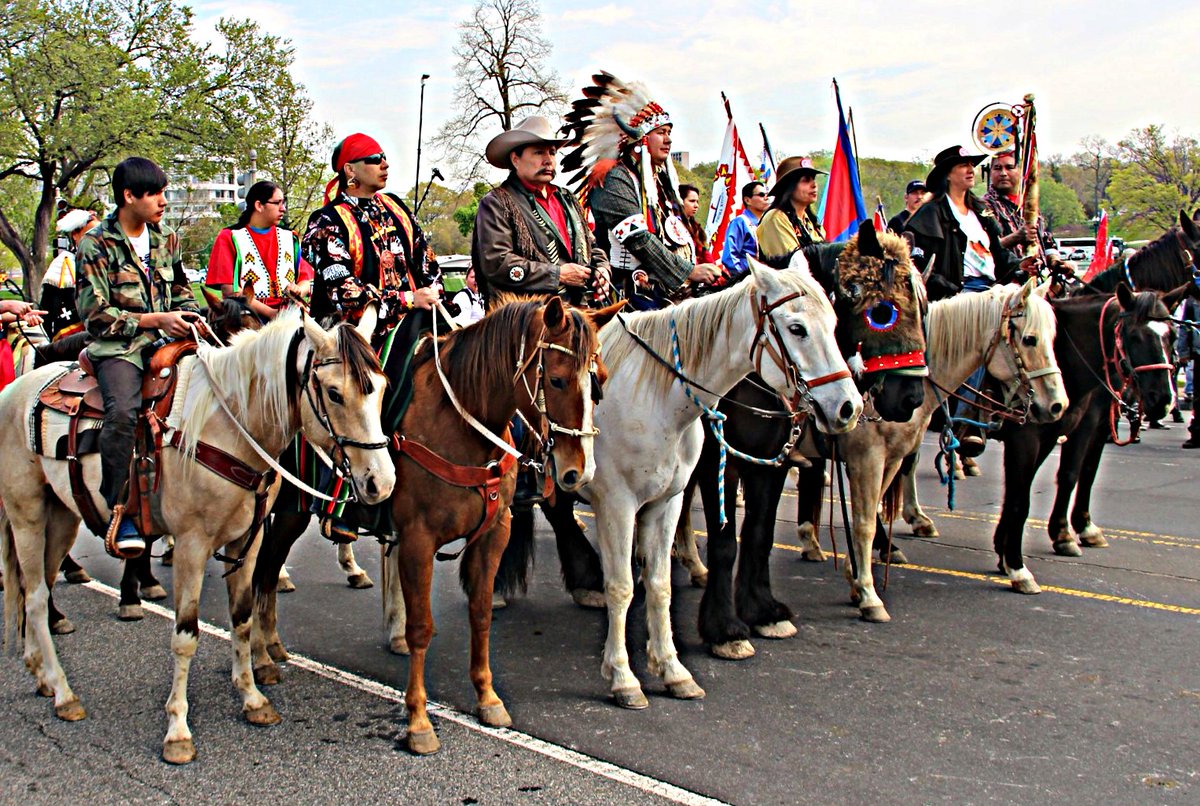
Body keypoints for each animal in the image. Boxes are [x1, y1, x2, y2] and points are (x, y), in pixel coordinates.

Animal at [0, 307, 393, 762]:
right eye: (333, 393)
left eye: (382, 388)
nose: (381, 482)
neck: (230, 426)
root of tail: (14, 390)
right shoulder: (192, 544)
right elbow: (185, 636)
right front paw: (177, 730)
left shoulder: (247, 542)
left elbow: (242, 619)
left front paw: (252, 699)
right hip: (27, 515)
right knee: (35, 597)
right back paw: (64, 693)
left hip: (63, 515)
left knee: (37, 589)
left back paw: (42, 675)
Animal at [590, 261, 864, 710]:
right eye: (797, 328)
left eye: (835, 322)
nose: (848, 407)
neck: (653, 396)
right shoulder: (617, 504)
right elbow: (622, 587)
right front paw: (623, 677)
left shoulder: (668, 502)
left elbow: (662, 585)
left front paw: (672, 668)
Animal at [902, 283, 1185, 580]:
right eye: (1134, 336)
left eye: (1173, 336)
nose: (1163, 400)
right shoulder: (1032, 437)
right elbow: (1028, 493)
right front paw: (1028, 556)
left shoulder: (1070, 431)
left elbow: (1065, 477)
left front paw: (1010, 549)